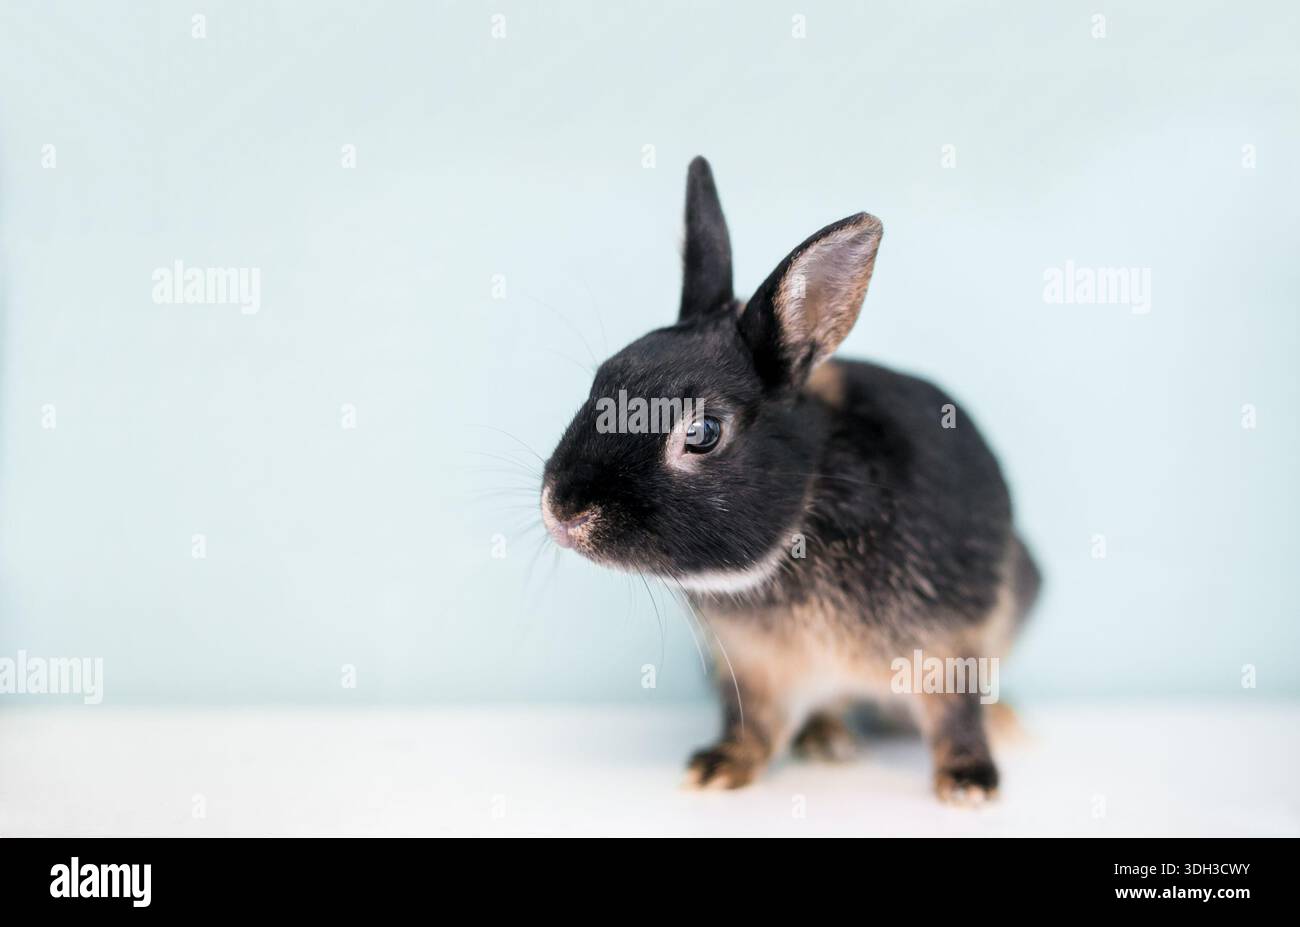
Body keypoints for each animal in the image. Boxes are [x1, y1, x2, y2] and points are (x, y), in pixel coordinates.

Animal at [540, 156, 1040, 804]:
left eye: (703, 431)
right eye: (602, 379)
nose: (561, 510)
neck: (802, 523)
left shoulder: (949, 646)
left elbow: (956, 715)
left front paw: (968, 783)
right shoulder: (751, 669)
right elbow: (753, 723)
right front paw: (720, 767)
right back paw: (827, 739)